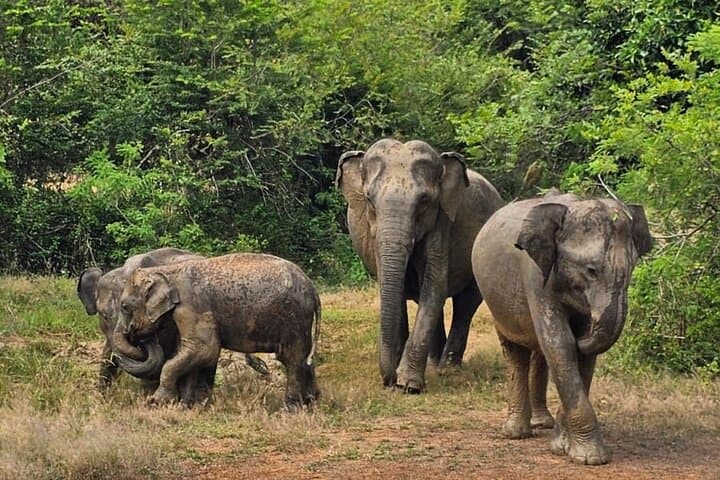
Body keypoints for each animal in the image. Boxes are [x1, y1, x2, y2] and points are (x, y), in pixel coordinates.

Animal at [112, 253, 321, 408]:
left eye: (124, 306)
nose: (139, 336)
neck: (167, 272)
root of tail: (312, 288)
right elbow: (196, 353)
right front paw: (191, 406)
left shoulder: (192, 305)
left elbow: (204, 349)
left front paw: (157, 402)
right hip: (300, 320)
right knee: (304, 357)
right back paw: (312, 402)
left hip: (294, 317)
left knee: (291, 358)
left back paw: (290, 409)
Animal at [336, 138, 505, 393]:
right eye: (369, 200)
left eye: (424, 201)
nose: (388, 381)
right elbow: (397, 289)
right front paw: (400, 379)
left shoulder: (441, 221)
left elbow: (434, 283)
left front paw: (408, 385)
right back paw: (435, 365)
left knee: (465, 304)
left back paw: (447, 369)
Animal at [471, 191, 652, 465]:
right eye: (591, 270)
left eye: (633, 268)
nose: (583, 334)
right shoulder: (535, 275)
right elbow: (560, 343)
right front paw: (590, 458)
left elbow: (581, 356)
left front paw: (561, 446)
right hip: (495, 302)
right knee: (516, 352)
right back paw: (515, 433)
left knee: (539, 352)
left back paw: (542, 424)